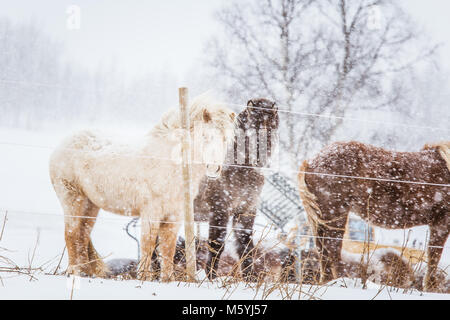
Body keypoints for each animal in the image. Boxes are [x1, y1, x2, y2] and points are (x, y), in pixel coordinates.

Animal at [50, 94, 236, 282]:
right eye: (204, 136)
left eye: (225, 139)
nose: (214, 169)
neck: (170, 161)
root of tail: (63, 143)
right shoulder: (151, 212)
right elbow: (148, 244)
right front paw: (144, 278)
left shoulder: (173, 216)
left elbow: (168, 249)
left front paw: (167, 279)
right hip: (72, 199)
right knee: (71, 234)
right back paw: (73, 272)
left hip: (90, 205)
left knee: (82, 235)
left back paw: (85, 273)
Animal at [193, 98, 278, 280]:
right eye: (252, 128)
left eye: (271, 130)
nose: (259, 161)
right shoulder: (220, 210)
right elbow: (216, 245)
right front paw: (211, 278)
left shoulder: (246, 211)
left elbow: (246, 246)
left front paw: (250, 278)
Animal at [298, 141, 448, 292]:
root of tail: (311, 161)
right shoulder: (442, 222)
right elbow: (433, 258)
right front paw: (430, 288)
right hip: (334, 215)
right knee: (332, 250)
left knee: (323, 252)